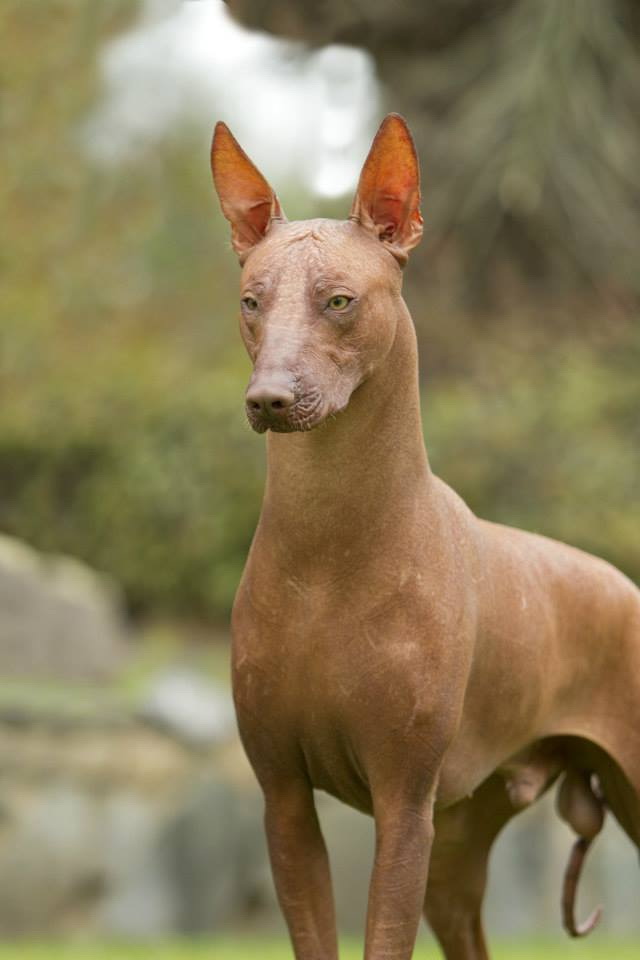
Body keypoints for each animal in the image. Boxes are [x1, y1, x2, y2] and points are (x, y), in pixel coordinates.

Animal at [211, 116, 640, 956]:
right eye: (250, 302)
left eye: (339, 300)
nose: (269, 398)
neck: (330, 544)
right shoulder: (285, 801)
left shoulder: (402, 807)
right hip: (460, 843)